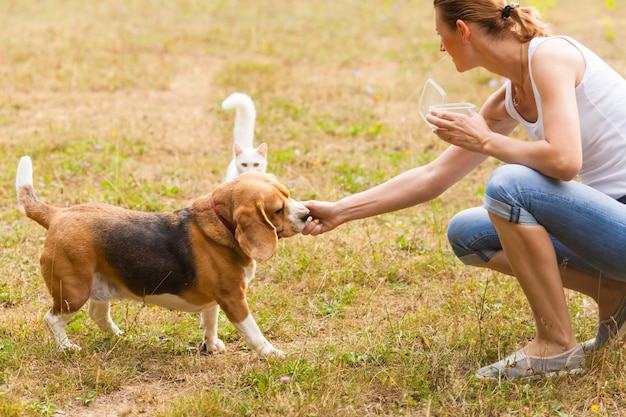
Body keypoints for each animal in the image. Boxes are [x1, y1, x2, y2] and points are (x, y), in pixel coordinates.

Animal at [14, 154, 308, 356]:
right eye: (278, 209)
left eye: (288, 195)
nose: (306, 214)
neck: (221, 223)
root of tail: (58, 215)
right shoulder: (234, 298)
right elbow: (253, 332)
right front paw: (273, 354)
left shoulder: (216, 299)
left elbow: (210, 322)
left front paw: (211, 346)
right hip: (73, 291)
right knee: (53, 319)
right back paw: (66, 347)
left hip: (98, 286)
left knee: (98, 315)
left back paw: (120, 336)